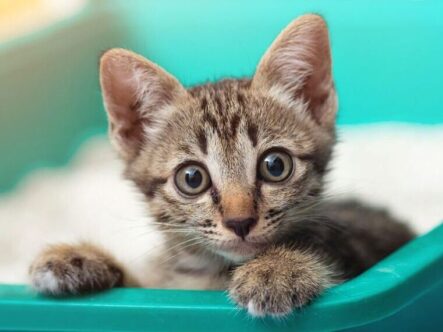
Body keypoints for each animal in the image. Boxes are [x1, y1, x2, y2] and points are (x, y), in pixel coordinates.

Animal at [30, 14, 412, 316]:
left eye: (275, 165)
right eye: (192, 178)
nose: (239, 221)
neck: (213, 273)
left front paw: (278, 269)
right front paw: (78, 259)